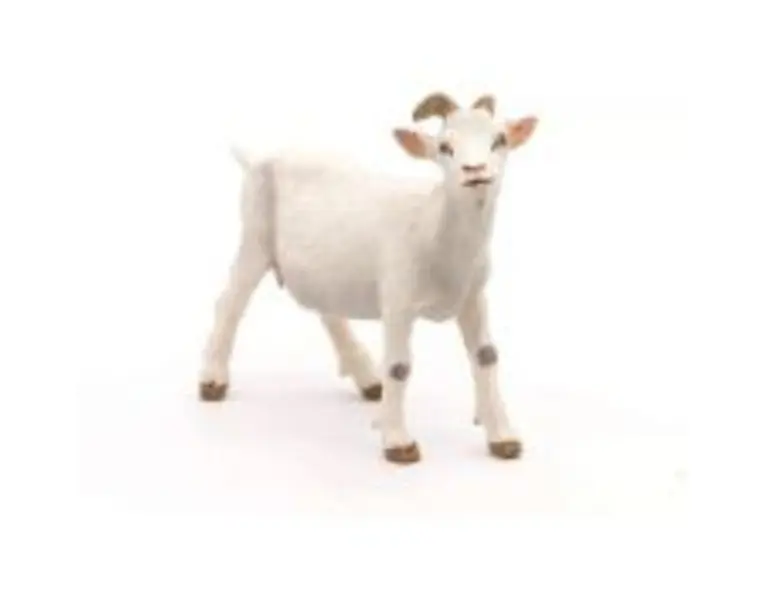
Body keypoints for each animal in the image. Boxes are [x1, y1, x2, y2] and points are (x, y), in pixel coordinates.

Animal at [198, 91, 538, 464]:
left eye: (499, 140)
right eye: (444, 147)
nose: (475, 171)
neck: (432, 224)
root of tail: (258, 156)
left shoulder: (473, 297)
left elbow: (487, 357)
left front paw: (502, 436)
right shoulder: (398, 297)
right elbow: (399, 367)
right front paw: (399, 443)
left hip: (322, 264)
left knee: (327, 310)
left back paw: (367, 378)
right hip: (255, 238)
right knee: (230, 302)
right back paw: (212, 381)